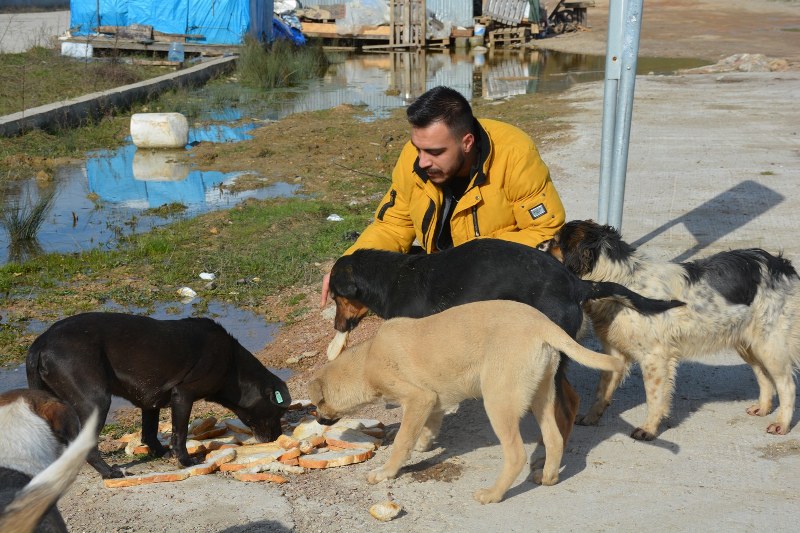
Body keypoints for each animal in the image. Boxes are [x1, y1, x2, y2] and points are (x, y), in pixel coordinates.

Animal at [26, 312, 292, 478]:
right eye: (278, 411)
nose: (276, 438)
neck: (232, 366)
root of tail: (40, 343)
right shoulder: (183, 395)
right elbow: (179, 434)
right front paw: (185, 461)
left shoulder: (150, 402)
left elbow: (149, 433)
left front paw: (160, 452)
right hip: (96, 401)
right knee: (87, 447)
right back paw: (110, 472)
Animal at [308, 300, 624, 502]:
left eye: (317, 406)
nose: (319, 421)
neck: (366, 359)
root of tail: (542, 324)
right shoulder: (432, 399)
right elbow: (427, 426)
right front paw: (423, 443)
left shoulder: (418, 397)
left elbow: (401, 442)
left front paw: (386, 472)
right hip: (541, 395)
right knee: (555, 438)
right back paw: (547, 477)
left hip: (499, 401)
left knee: (516, 455)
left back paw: (493, 495)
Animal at [548, 218, 800, 438]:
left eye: (555, 242)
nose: (542, 246)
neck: (622, 280)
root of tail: (781, 265)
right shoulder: (615, 353)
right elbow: (601, 392)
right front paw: (591, 417)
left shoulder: (655, 357)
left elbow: (654, 396)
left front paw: (649, 429)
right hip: (749, 344)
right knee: (764, 377)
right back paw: (763, 408)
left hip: (770, 346)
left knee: (787, 385)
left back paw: (781, 423)